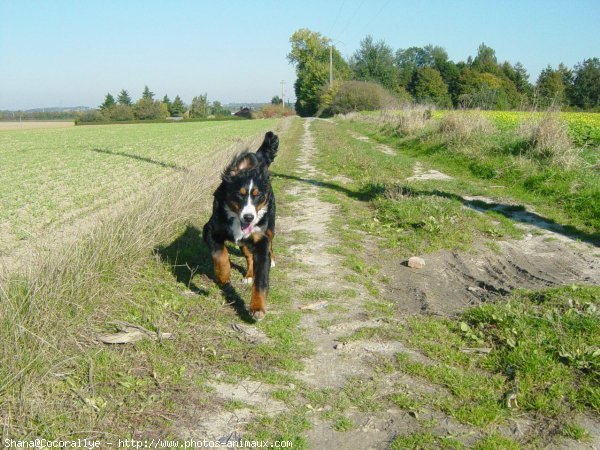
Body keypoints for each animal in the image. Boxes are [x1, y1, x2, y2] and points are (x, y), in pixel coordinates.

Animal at [202, 132, 276, 322]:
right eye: (239, 194)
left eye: (258, 196)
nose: (249, 217)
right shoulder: (211, 230)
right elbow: (220, 254)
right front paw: (223, 275)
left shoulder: (261, 241)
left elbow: (261, 280)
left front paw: (257, 307)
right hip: (244, 243)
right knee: (249, 256)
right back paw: (249, 274)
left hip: (269, 228)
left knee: (270, 246)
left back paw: (271, 261)